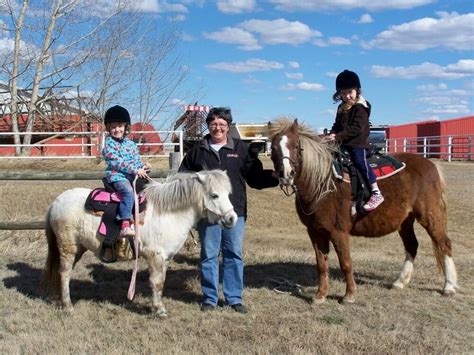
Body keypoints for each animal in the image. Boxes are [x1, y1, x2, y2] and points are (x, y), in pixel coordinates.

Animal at [39, 170, 236, 318]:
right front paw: (159, 311)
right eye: (214, 195)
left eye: (228, 194)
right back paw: (68, 306)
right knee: (64, 273)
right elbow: (156, 283)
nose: (232, 219)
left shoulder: (165, 259)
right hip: (68, 246)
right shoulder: (155, 256)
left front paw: (158, 307)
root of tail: (56, 202)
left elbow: (161, 282)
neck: (167, 213)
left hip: (78, 248)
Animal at [270, 118, 460, 304]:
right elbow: (321, 264)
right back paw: (400, 282)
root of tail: (430, 164)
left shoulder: (339, 232)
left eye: (296, 145)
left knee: (444, 244)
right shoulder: (315, 231)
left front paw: (349, 295)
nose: (286, 174)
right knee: (412, 245)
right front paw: (320, 295)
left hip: (430, 215)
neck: (323, 183)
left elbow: (345, 262)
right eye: (272, 148)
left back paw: (449, 287)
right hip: (406, 220)